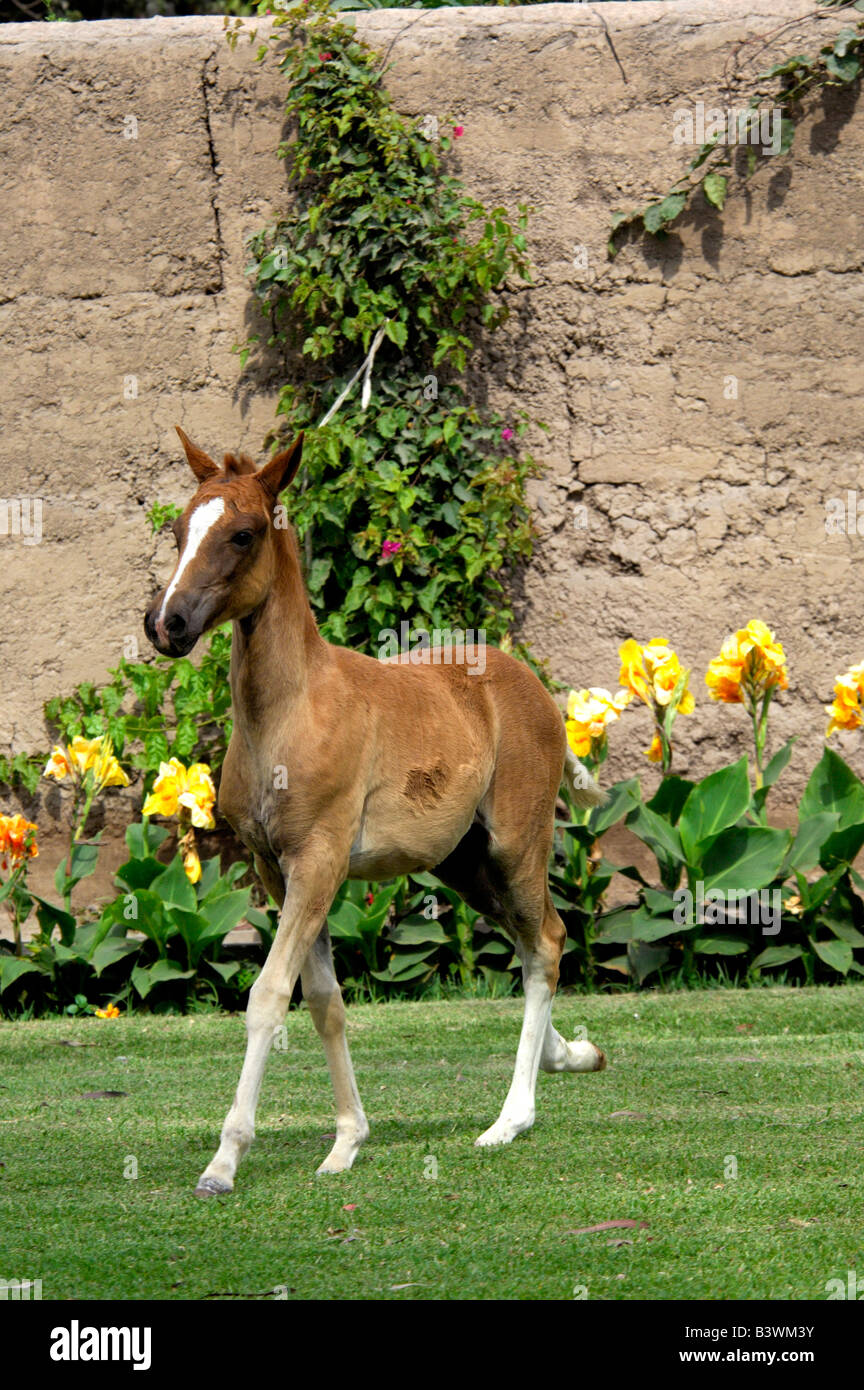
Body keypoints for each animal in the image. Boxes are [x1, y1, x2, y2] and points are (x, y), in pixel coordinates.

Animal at [144, 426, 607, 1195]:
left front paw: (224, 1161)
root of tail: (539, 691)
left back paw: (510, 1119)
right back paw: (569, 1054)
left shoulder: (320, 861)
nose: (166, 624)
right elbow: (326, 1002)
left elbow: (269, 996)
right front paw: (347, 1141)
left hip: (515, 844)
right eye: (180, 530)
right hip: (461, 864)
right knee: (532, 939)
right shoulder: (278, 872)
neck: (287, 713)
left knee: (545, 941)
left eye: (242, 534)